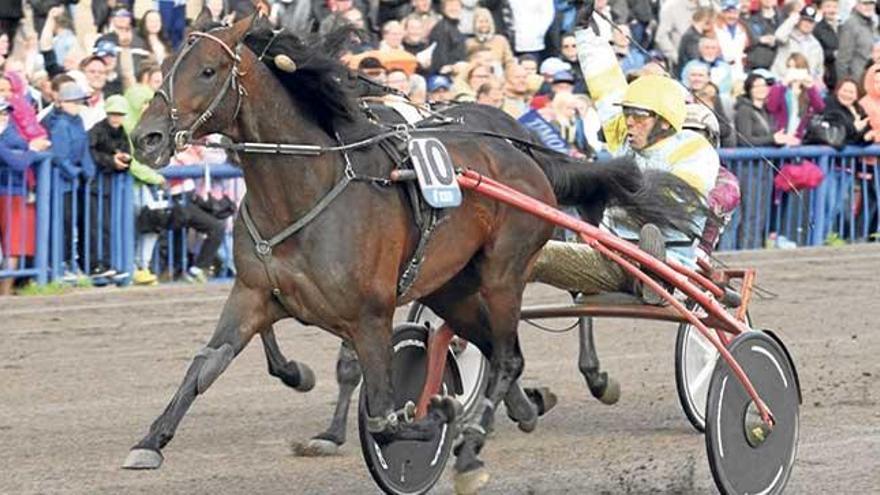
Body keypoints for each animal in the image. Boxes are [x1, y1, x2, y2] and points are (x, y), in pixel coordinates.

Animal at [124, 13, 704, 494]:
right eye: (166, 65)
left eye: (208, 70)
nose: (145, 137)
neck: (307, 187)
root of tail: (522, 151)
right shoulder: (252, 293)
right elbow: (205, 366)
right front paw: (151, 442)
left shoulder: (370, 312)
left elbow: (382, 411)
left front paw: (424, 419)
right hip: (453, 286)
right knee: (496, 346)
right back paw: (520, 408)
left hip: (504, 271)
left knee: (512, 351)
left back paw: (475, 445)